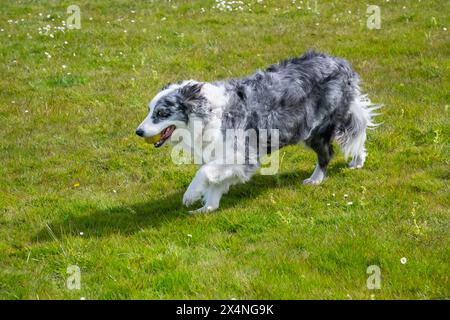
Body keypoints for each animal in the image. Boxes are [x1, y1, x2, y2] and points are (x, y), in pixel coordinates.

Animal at [134, 50, 380, 212]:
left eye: (162, 113)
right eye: (149, 110)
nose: (138, 132)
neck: (207, 113)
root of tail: (340, 63)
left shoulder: (243, 154)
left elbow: (203, 172)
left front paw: (190, 195)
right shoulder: (222, 153)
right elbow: (214, 181)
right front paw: (207, 208)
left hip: (315, 129)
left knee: (328, 152)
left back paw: (315, 179)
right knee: (356, 130)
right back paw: (358, 160)